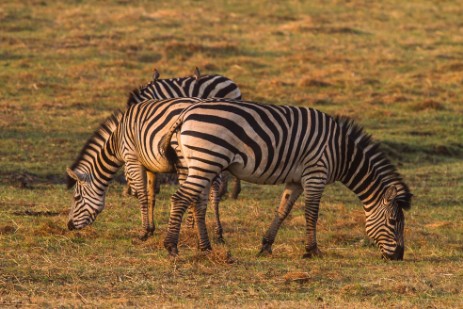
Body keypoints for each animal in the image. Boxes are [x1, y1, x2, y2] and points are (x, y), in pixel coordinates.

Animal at [161, 98, 416, 258]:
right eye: (394, 221)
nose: (399, 256)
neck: (341, 152)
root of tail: (185, 113)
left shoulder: (295, 181)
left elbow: (282, 211)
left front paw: (266, 246)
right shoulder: (316, 174)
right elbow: (311, 213)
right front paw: (313, 251)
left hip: (197, 163)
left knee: (197, 203)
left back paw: (205, 248)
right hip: (207, 159)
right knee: (179, 199)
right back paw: (171, 247)